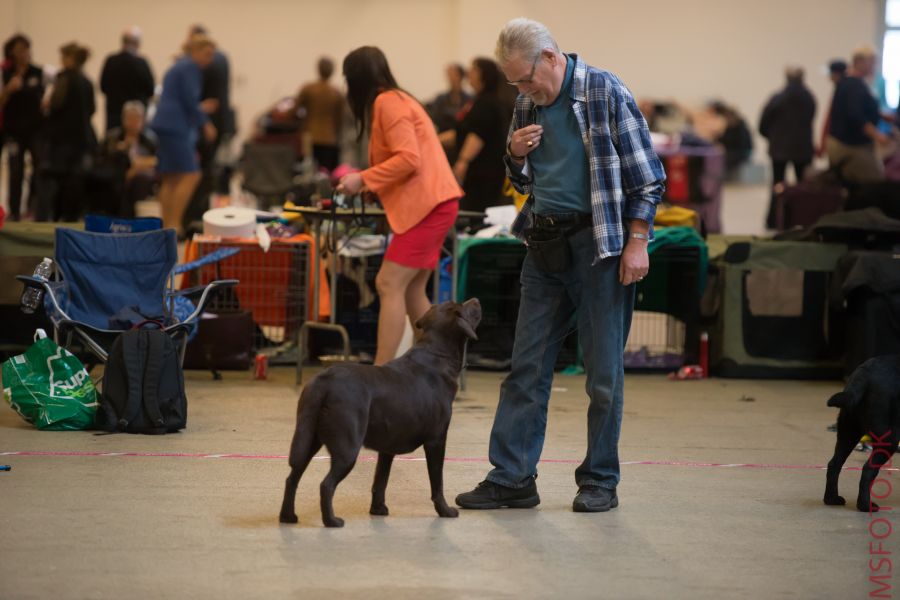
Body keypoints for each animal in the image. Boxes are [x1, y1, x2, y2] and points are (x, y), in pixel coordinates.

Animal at [280, 298, 482, 528]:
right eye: (462, 307)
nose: (476, 299)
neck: (437, 353)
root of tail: (324, 381)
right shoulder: (436, 439)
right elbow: (437, 481)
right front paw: (445, 510)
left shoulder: (388, 447)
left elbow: (380, 480)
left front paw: (377, 510)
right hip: (347, 447)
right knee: (326, 484)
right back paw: (332, 520)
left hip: (308, 438)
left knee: (292, 478)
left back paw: (288, 517)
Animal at [824, 354, 900, 512]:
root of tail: (863, 377)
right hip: (889, 439)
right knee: (868, 470)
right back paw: (865, 505)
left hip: (848, 431)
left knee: (834, 464)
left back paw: (832, 499)